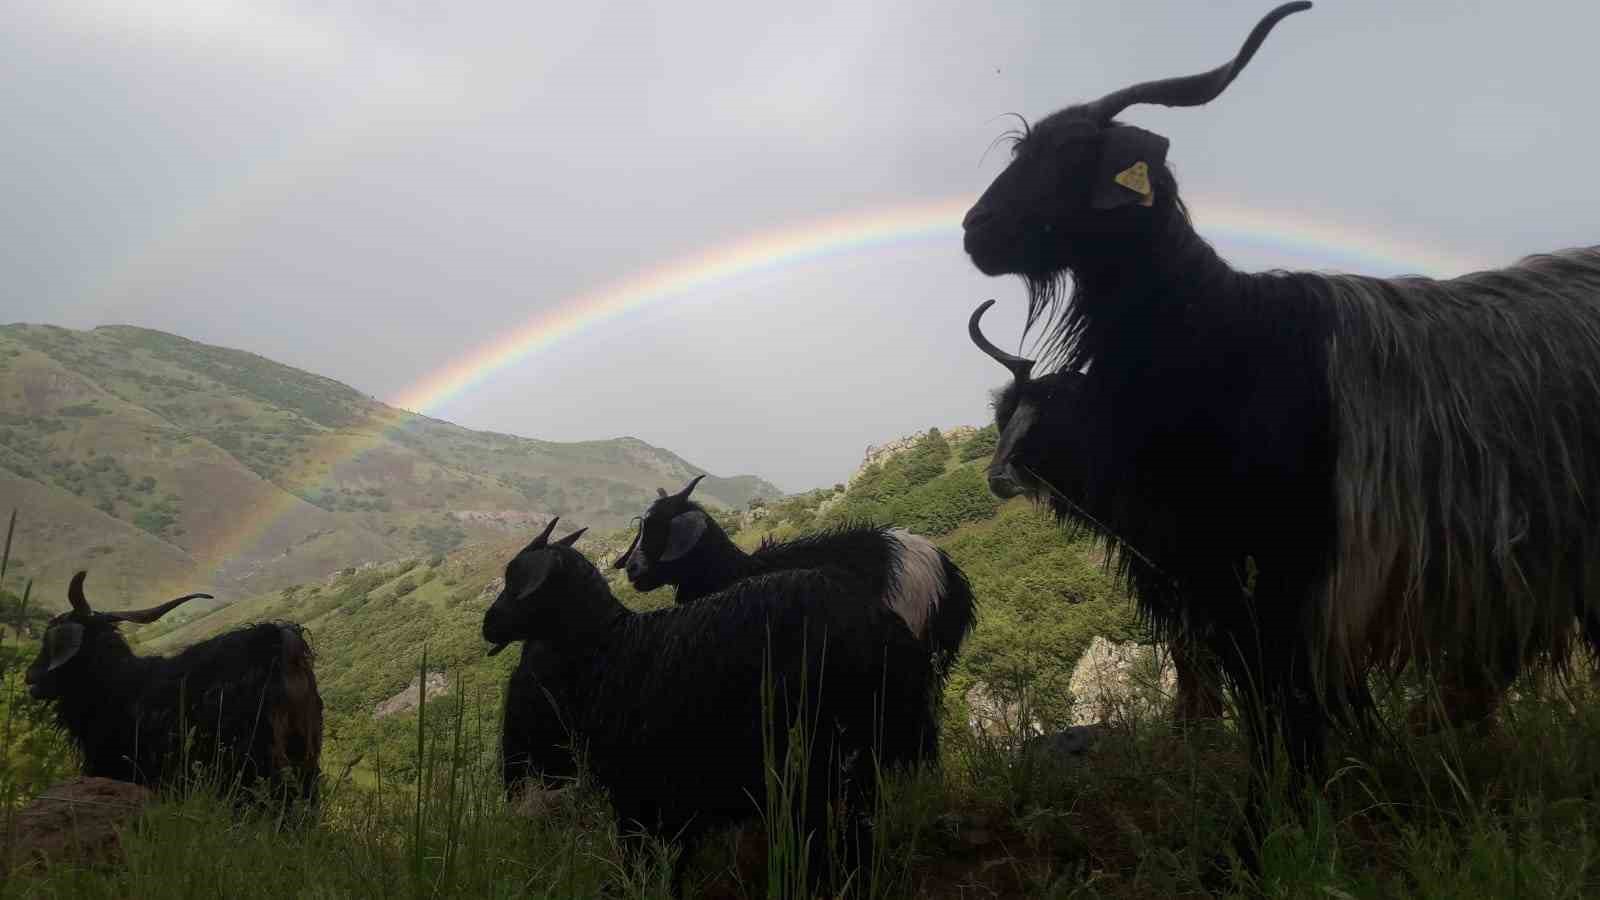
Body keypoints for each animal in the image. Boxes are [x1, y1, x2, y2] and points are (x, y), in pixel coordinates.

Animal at [25, 570, 321, 810]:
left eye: (50, 642)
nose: (30, 678)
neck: (117, 683)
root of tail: (282, 645)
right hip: (302, 756)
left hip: (254, 758)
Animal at [486, 518, 934, 890]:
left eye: (514, 578)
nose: (487, 625)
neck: (610, 646)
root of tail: (881, 624)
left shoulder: (639, 793)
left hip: (825, 754)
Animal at [960, 0, 1600, 826]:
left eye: (1070, 153)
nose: (974, 231)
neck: (1229, 337)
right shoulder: (1214, 561)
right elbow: (1256, 684)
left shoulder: (1295, 555)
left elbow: (1285, 686)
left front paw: (1284, 818)